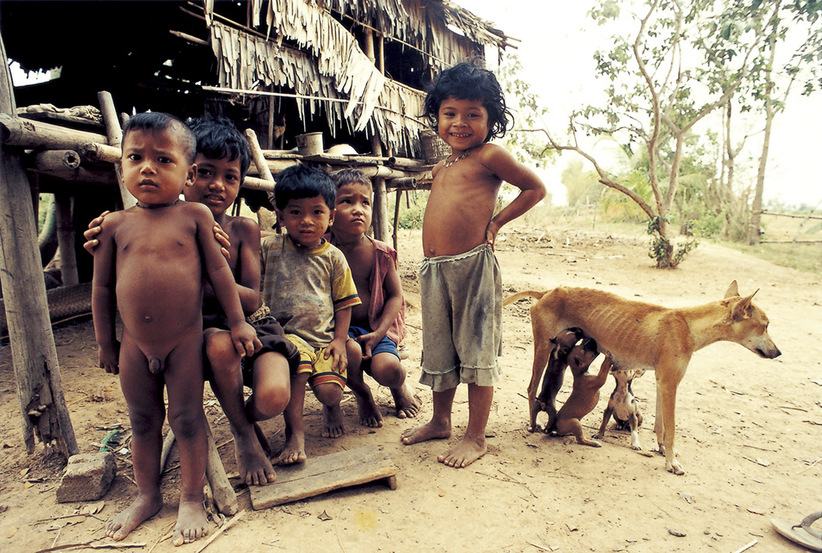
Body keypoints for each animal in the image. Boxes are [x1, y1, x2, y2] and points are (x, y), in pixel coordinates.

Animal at [506, 282, 784, 472]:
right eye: (766, 325)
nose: (778, 352)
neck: (688, 325)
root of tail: (546, 291)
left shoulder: (663, 383)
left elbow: (660, 426)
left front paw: (661, 450)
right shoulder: (671, 384)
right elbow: (672, 429)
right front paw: (672, 463)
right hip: (543, 349)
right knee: (531, 389)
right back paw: (534, 425)